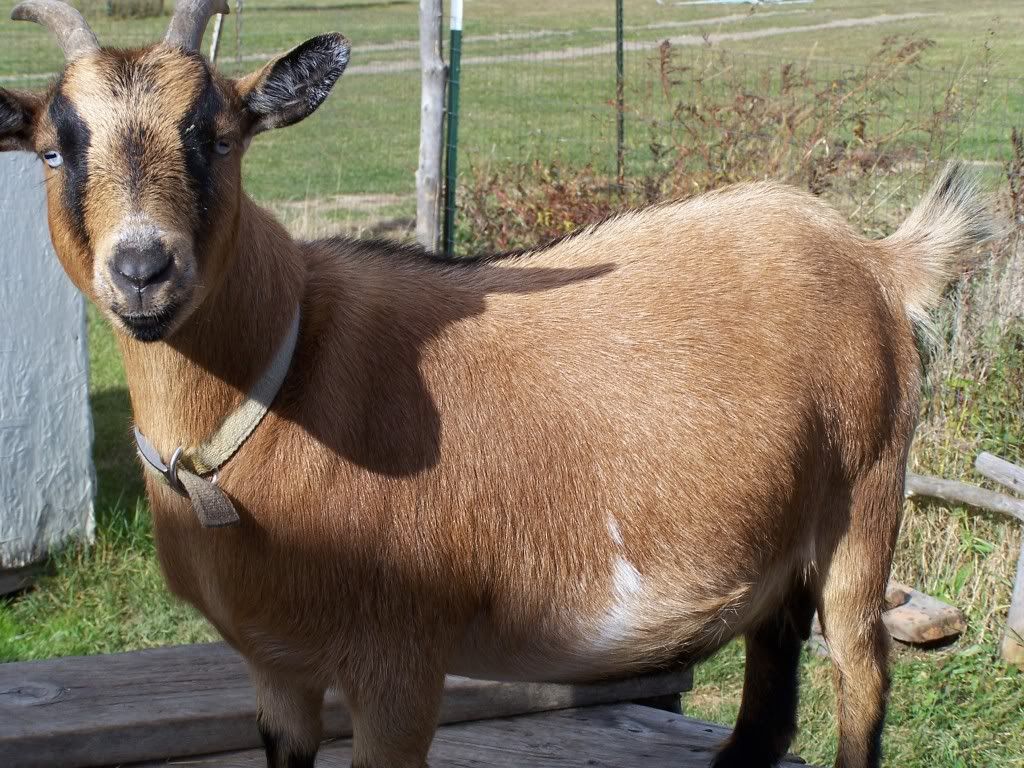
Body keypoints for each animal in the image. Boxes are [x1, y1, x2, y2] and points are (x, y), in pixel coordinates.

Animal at [0, 2, 994, 766]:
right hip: (779, 546)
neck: (277, 387)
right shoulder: (275, 669)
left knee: (861, 671)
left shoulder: (398, 663)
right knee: (772, 689)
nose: (142, 269)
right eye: (54, 149)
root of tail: (875, 256)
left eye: (217, 135)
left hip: (866, 499)